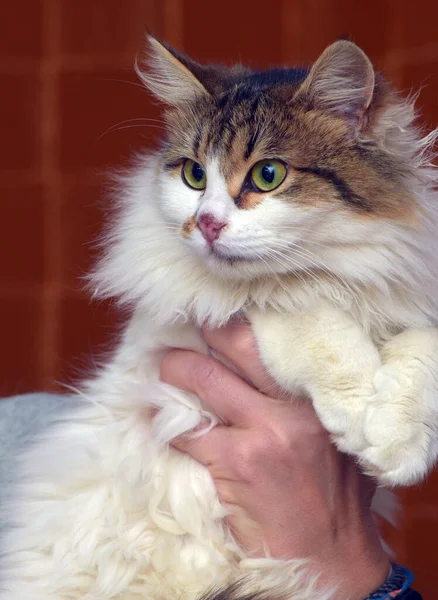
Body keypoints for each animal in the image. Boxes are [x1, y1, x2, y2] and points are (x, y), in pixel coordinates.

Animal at [0, 36, 438, 600]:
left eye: (268, 175)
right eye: (194, 175)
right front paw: (361, 412)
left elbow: (421, 350)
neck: (334, 272)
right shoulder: (224, 312)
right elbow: (305, 316)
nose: (206, 223)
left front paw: (397, 442)